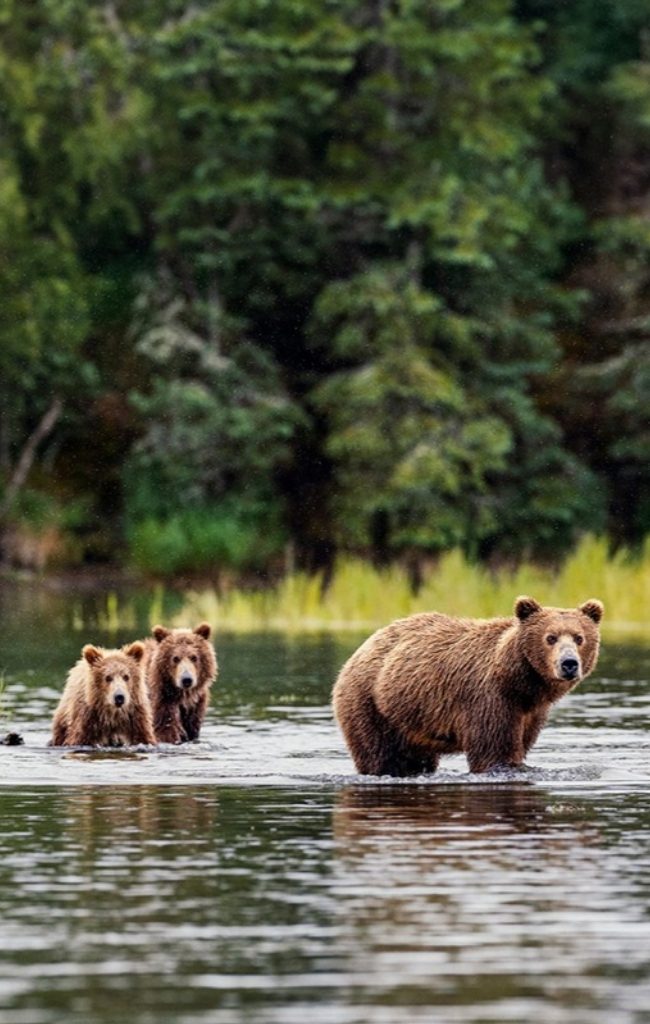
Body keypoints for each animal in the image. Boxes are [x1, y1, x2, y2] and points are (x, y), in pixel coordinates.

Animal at [332, 595, 604, 777]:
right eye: (550, 638)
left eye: (579, 638)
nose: (569, 664)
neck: (522, 684)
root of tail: (366, 644)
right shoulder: (488, 698)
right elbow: (494, 752)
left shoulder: (531, 713)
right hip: (370, 704)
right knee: (378, 754)